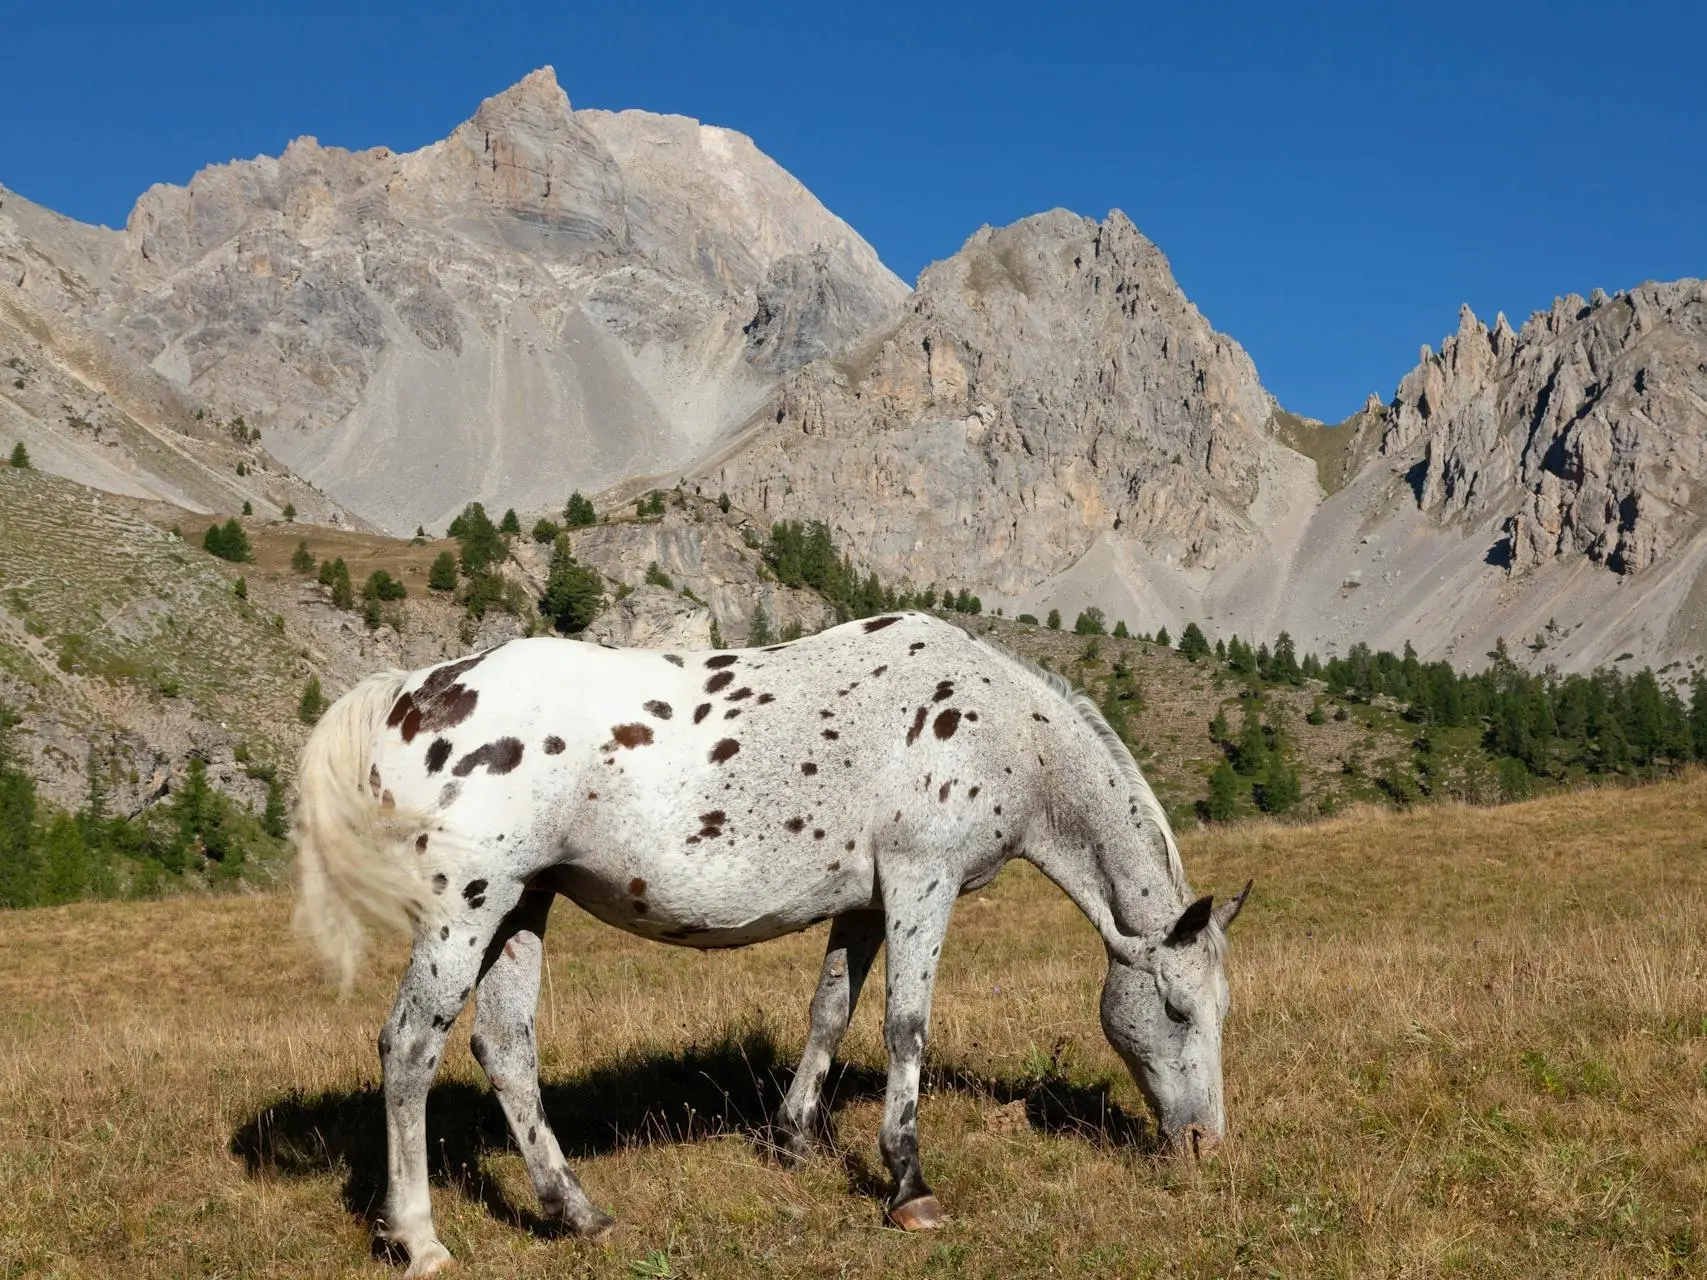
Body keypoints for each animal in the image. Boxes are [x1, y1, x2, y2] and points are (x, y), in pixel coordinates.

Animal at [293, 617, 1256, 1276]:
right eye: (1176, 1009)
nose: (1204, 1145)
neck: (1002, 728)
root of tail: (413, 691)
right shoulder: (922, 882)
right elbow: (905, 1029)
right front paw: (908, 1186)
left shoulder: (864, 905)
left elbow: (829, 1010)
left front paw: (794, 1140)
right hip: (467, 907)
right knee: (409, 1047)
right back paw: (420, 1240)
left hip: (521, 907)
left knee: (504, 1048)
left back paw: (576, 1212)